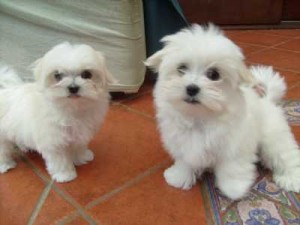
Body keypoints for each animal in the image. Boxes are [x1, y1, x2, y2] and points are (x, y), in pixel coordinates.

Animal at [0, 42, 115, 183]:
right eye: (57, 75)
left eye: (86, 74)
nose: (73, 87)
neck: (72, 108)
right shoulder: (54, 140)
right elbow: (60, 159)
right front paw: (65, 175)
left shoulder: (80, 133)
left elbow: (79, 146)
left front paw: (82, 157)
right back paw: (5, 165)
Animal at [146, 24, 300, 200]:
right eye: (181, 68)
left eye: (213, 74)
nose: (191, 88)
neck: (199, 117)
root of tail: (266, 100)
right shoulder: (182, 144)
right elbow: (184, 161)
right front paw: (179, 177)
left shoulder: (235, 147)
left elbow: (232, 168)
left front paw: (234, 188)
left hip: (274, 138)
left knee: (286, 156)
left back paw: (293, 178)